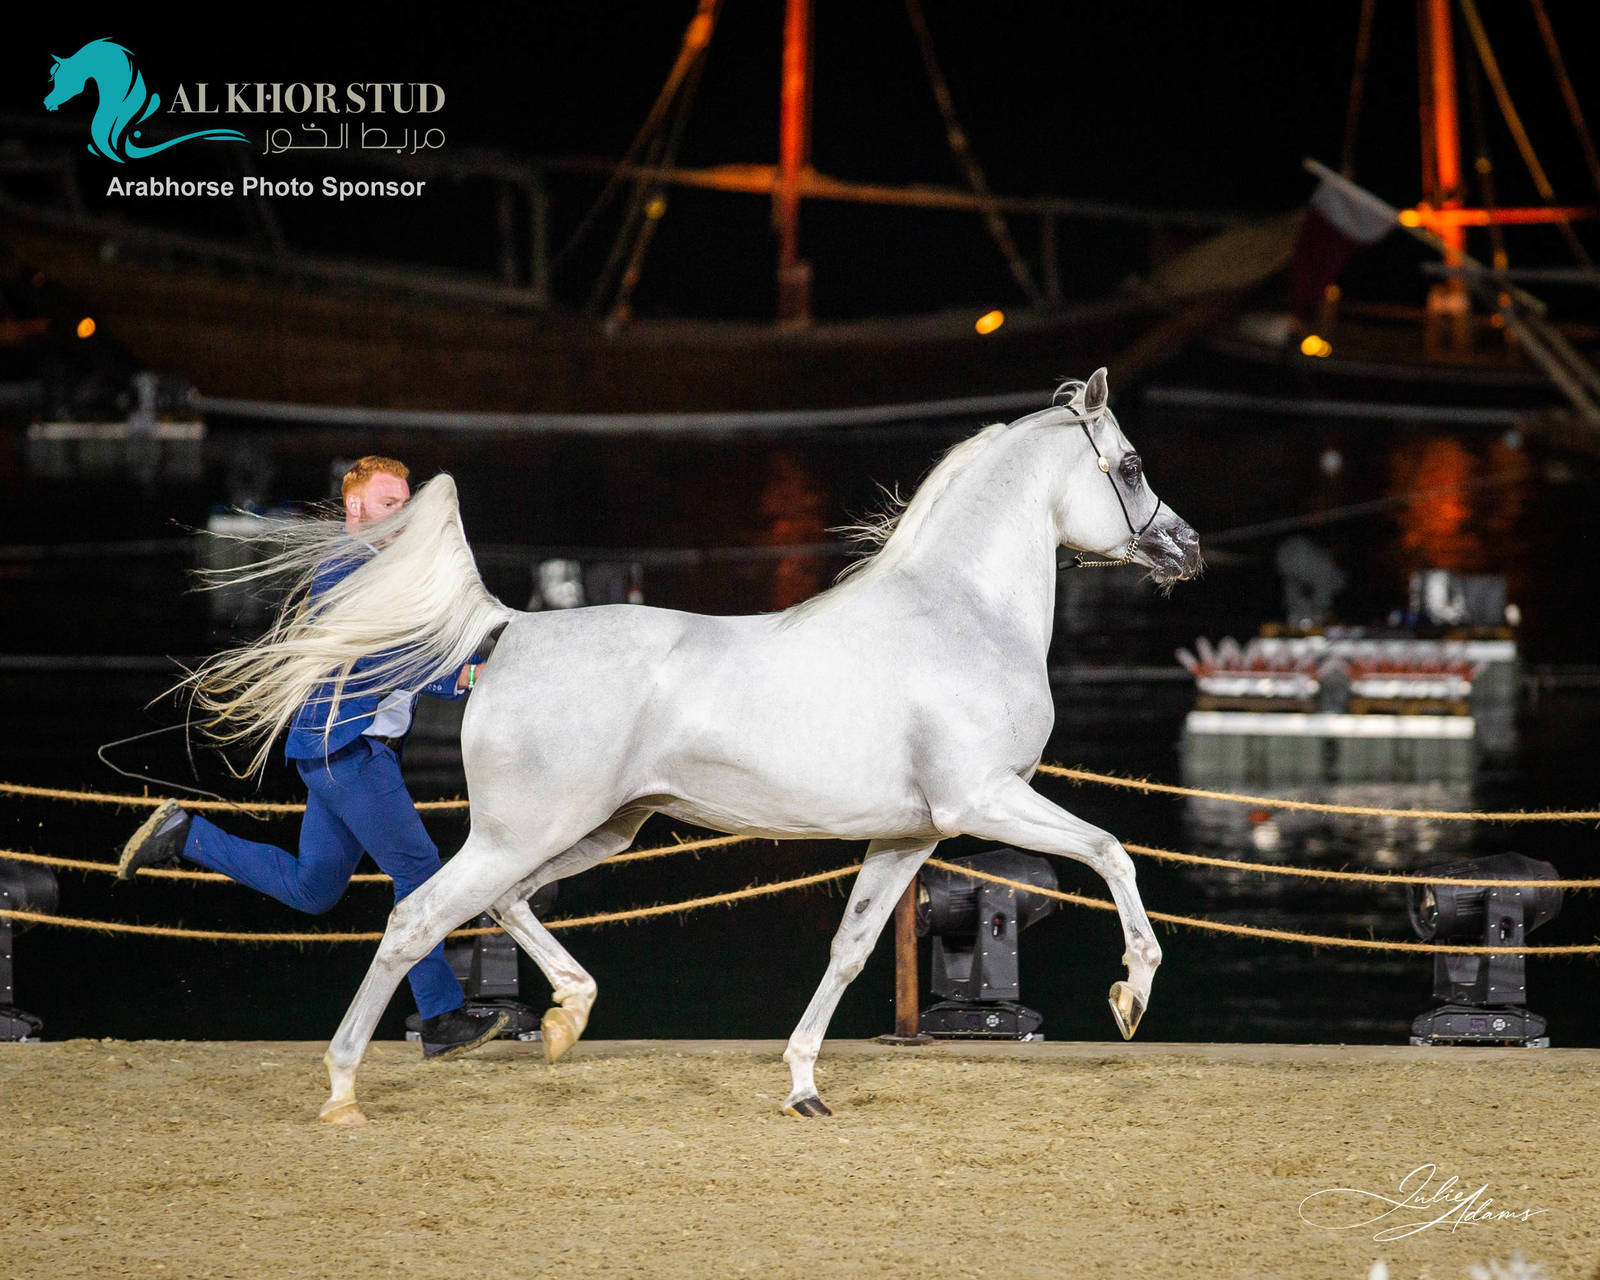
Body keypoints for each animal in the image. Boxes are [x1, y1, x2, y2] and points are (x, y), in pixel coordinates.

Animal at [189, 367, 1203, 1122]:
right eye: (1132, 464)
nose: (1187, 549)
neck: (962, 615)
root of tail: (508, 632)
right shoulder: (984, 799)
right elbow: (1112, 852)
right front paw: (1132, 995)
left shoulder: (907, 836)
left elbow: (850, 949)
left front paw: (803, 1087)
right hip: (524, 831)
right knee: (416, 917)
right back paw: (344, 1089)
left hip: (598, 829)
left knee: (504, 903)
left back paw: (566, 1019)